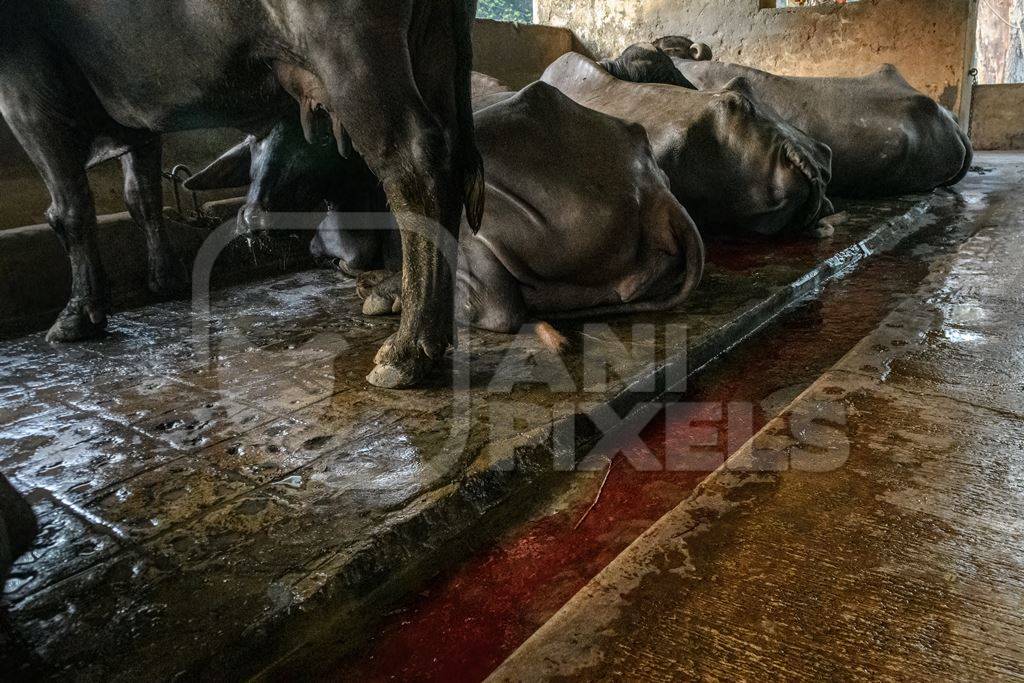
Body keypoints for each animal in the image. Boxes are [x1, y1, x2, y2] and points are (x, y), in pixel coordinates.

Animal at [0, 0, 483, 387]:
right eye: (253, 155)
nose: (253, 218)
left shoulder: (27, 90)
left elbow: (69, 211)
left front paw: (77, 314)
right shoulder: (138, 120)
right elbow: (141, 197)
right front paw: (165, 279)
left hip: (353, 58)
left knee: (413, 166)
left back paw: (408, 349)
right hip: (435, 48)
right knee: (450, 155)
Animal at [192, 80, 704, 342]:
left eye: (312, 141)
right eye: (253, 145)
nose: (254, 215)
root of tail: (653, 188)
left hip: (476, 218)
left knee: (497, 309)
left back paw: (388, 295)